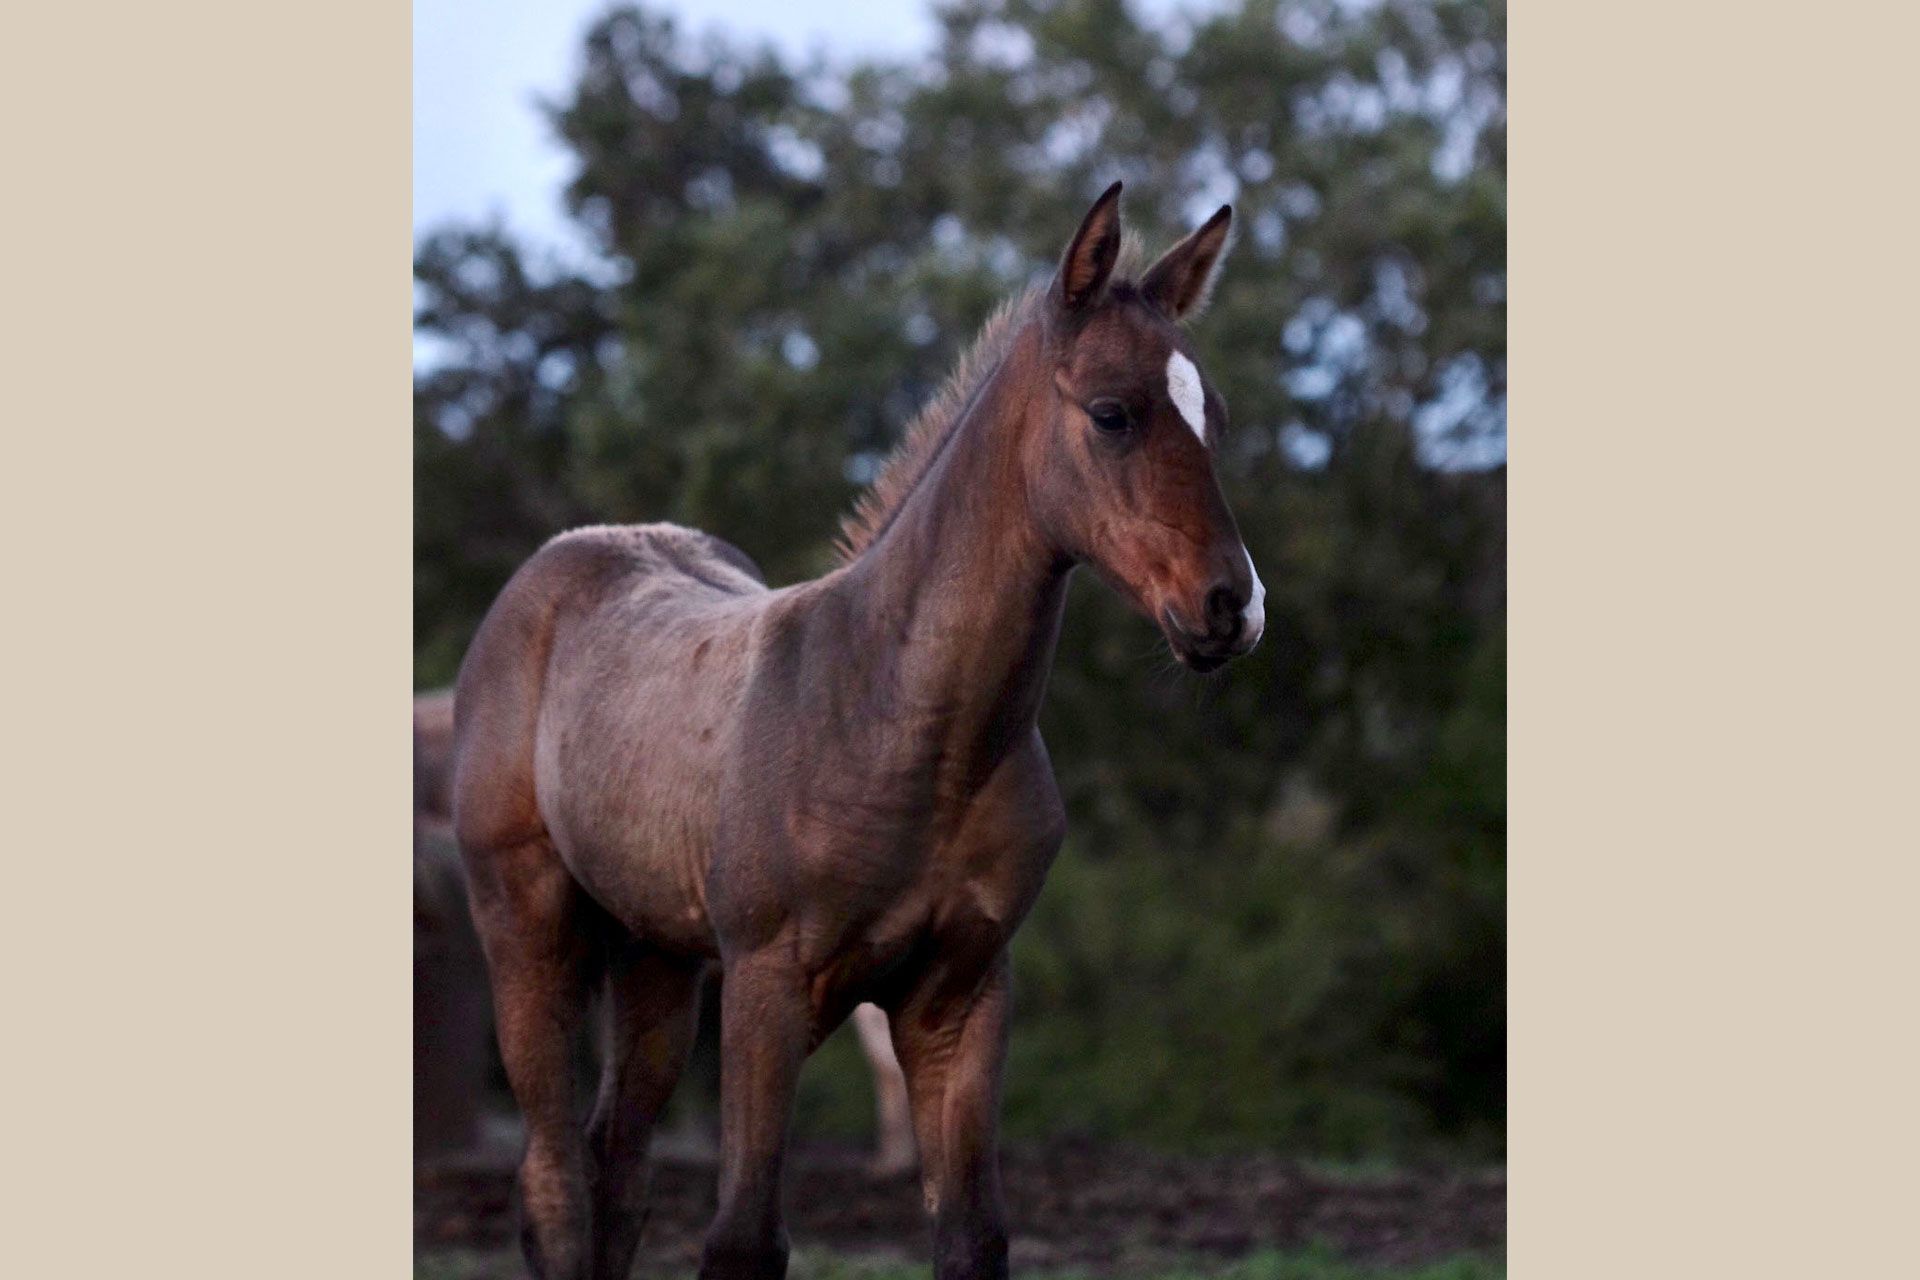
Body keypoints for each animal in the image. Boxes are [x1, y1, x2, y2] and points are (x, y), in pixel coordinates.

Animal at [449, 182, 1259, 1280]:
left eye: (1212, 414)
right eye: (1111, 413)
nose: (1232, 606)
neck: (910, 725)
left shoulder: (961, 994)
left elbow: (973, 1236)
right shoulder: (767, 984)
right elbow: (745, 1239)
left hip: (658, 955)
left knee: (616, 1166)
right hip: (528, 926)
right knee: (553, 1185)